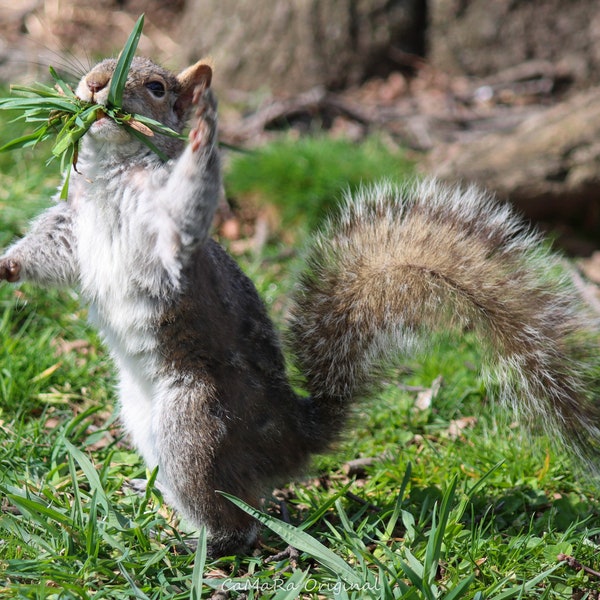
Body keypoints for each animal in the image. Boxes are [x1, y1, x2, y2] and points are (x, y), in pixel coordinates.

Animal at [1, 54, 600, 556]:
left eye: (155, 88)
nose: (93, 86)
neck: (113, 175)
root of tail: (291, 438)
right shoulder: (73, 226)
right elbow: (48, 251)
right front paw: (6, 266)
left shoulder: (166, 226)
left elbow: (189, 206)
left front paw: (204, 136)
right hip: (144, 423)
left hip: (193, 426)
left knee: (234, 517)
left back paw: (198, 544)